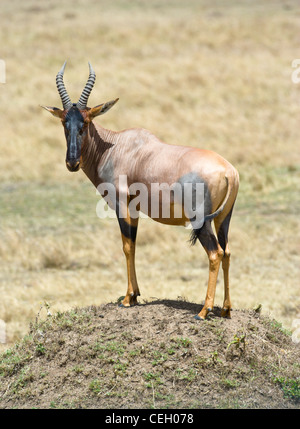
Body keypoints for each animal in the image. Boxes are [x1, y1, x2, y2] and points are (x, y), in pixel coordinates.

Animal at [41, 62, 239, 318]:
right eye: (64, 123)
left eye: (86, 122)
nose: (72, 163)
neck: (117, 147)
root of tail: (228, 172)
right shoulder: (134, 210)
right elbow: (133, 246)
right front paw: (135, 295)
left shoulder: (122, 205)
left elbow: (127, 246)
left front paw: (128, 298)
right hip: (223, 218)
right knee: (227, 251)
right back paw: (225, 309)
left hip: (201, 220)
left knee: (215, 253)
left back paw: (204, 310)